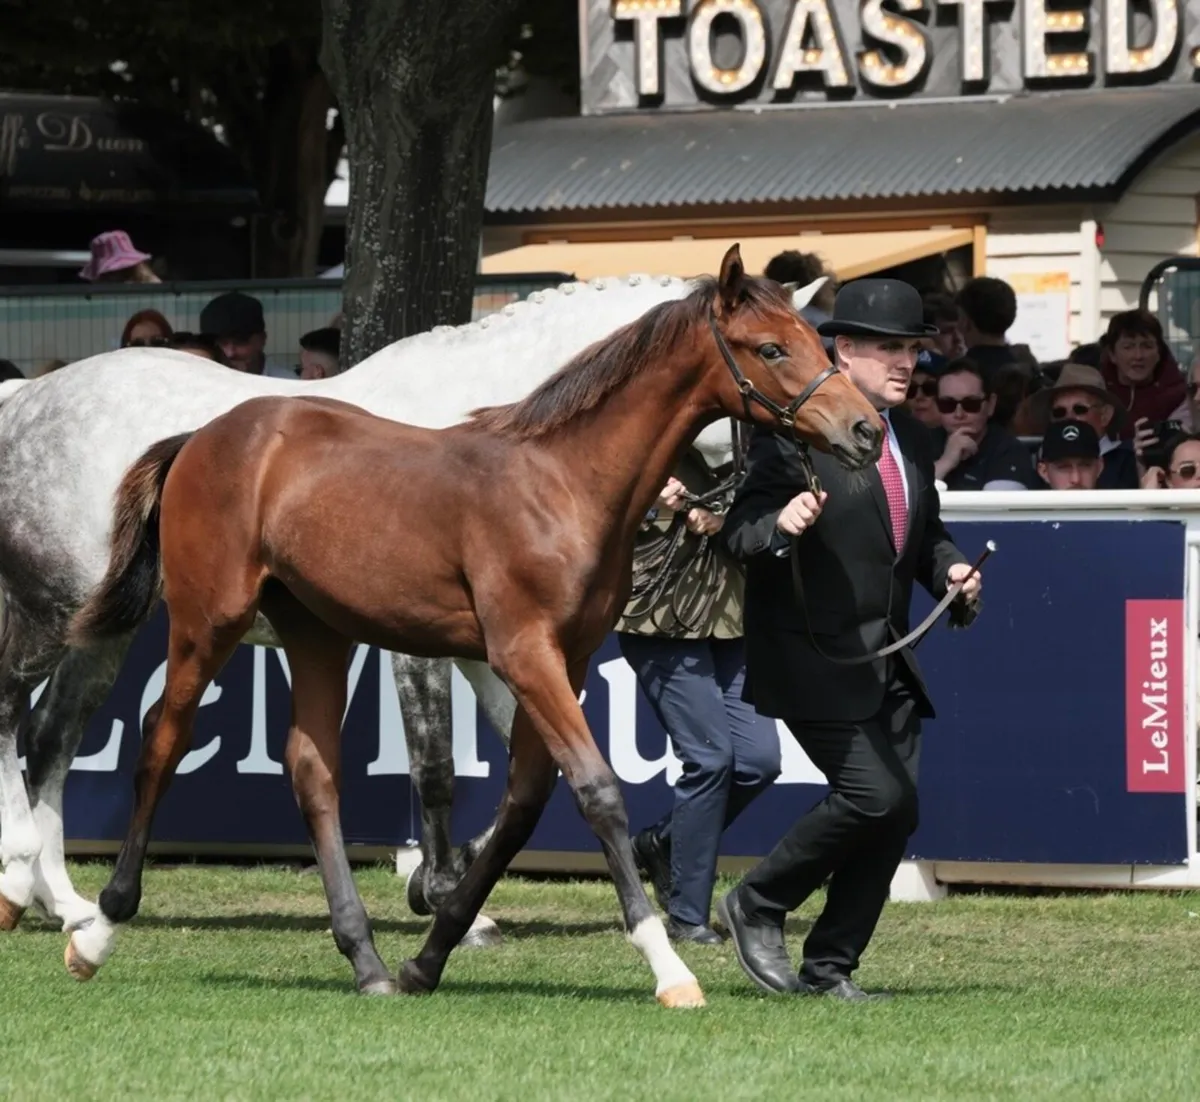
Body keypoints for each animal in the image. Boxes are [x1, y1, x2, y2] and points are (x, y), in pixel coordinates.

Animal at [64, 245, 883, 1006]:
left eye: (821, 345)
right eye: (770, 349)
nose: (867, 430)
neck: (561, 482)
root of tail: (202, 435)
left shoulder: (562, 660)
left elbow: (523, 805)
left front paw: (430, 955)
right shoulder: (525, 654)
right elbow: (596, 791)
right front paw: (668, 968)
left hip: (318, 633)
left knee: (313, 771)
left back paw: (367, 961)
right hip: (210, 621)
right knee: (161, 744)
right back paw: (97, 930)